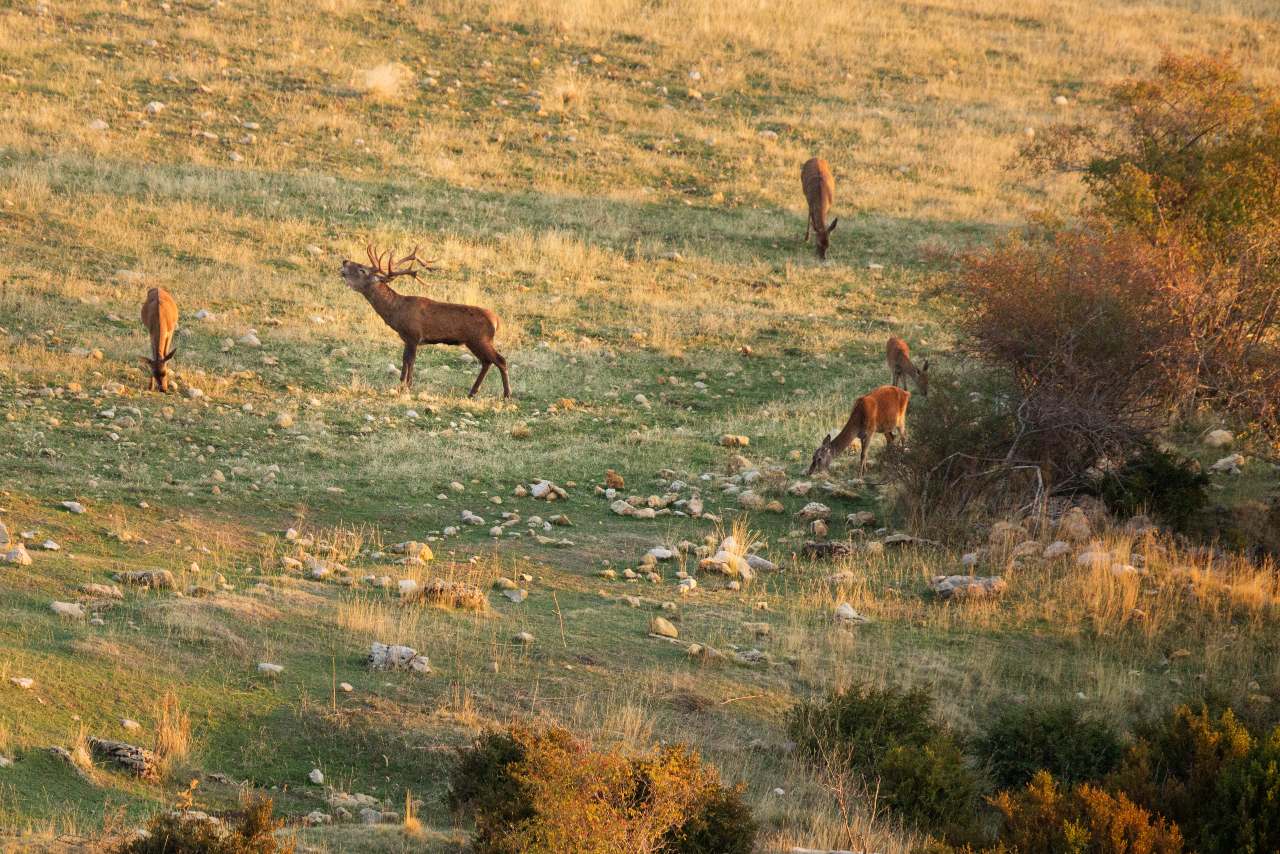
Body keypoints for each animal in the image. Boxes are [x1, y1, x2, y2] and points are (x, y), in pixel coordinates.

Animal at [340, 243, 509, 396]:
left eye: (362, 270)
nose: (345, 261)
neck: (397, 311)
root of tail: (497, 321)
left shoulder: (414, 335)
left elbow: (410, 360)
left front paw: (408, 386)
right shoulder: (406, 338)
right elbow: (404, 359)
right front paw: (401, 384)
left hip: (480, 339)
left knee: (500, 360)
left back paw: (506, 394)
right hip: (474, 342)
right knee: (487, 362)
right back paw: (473, 392)